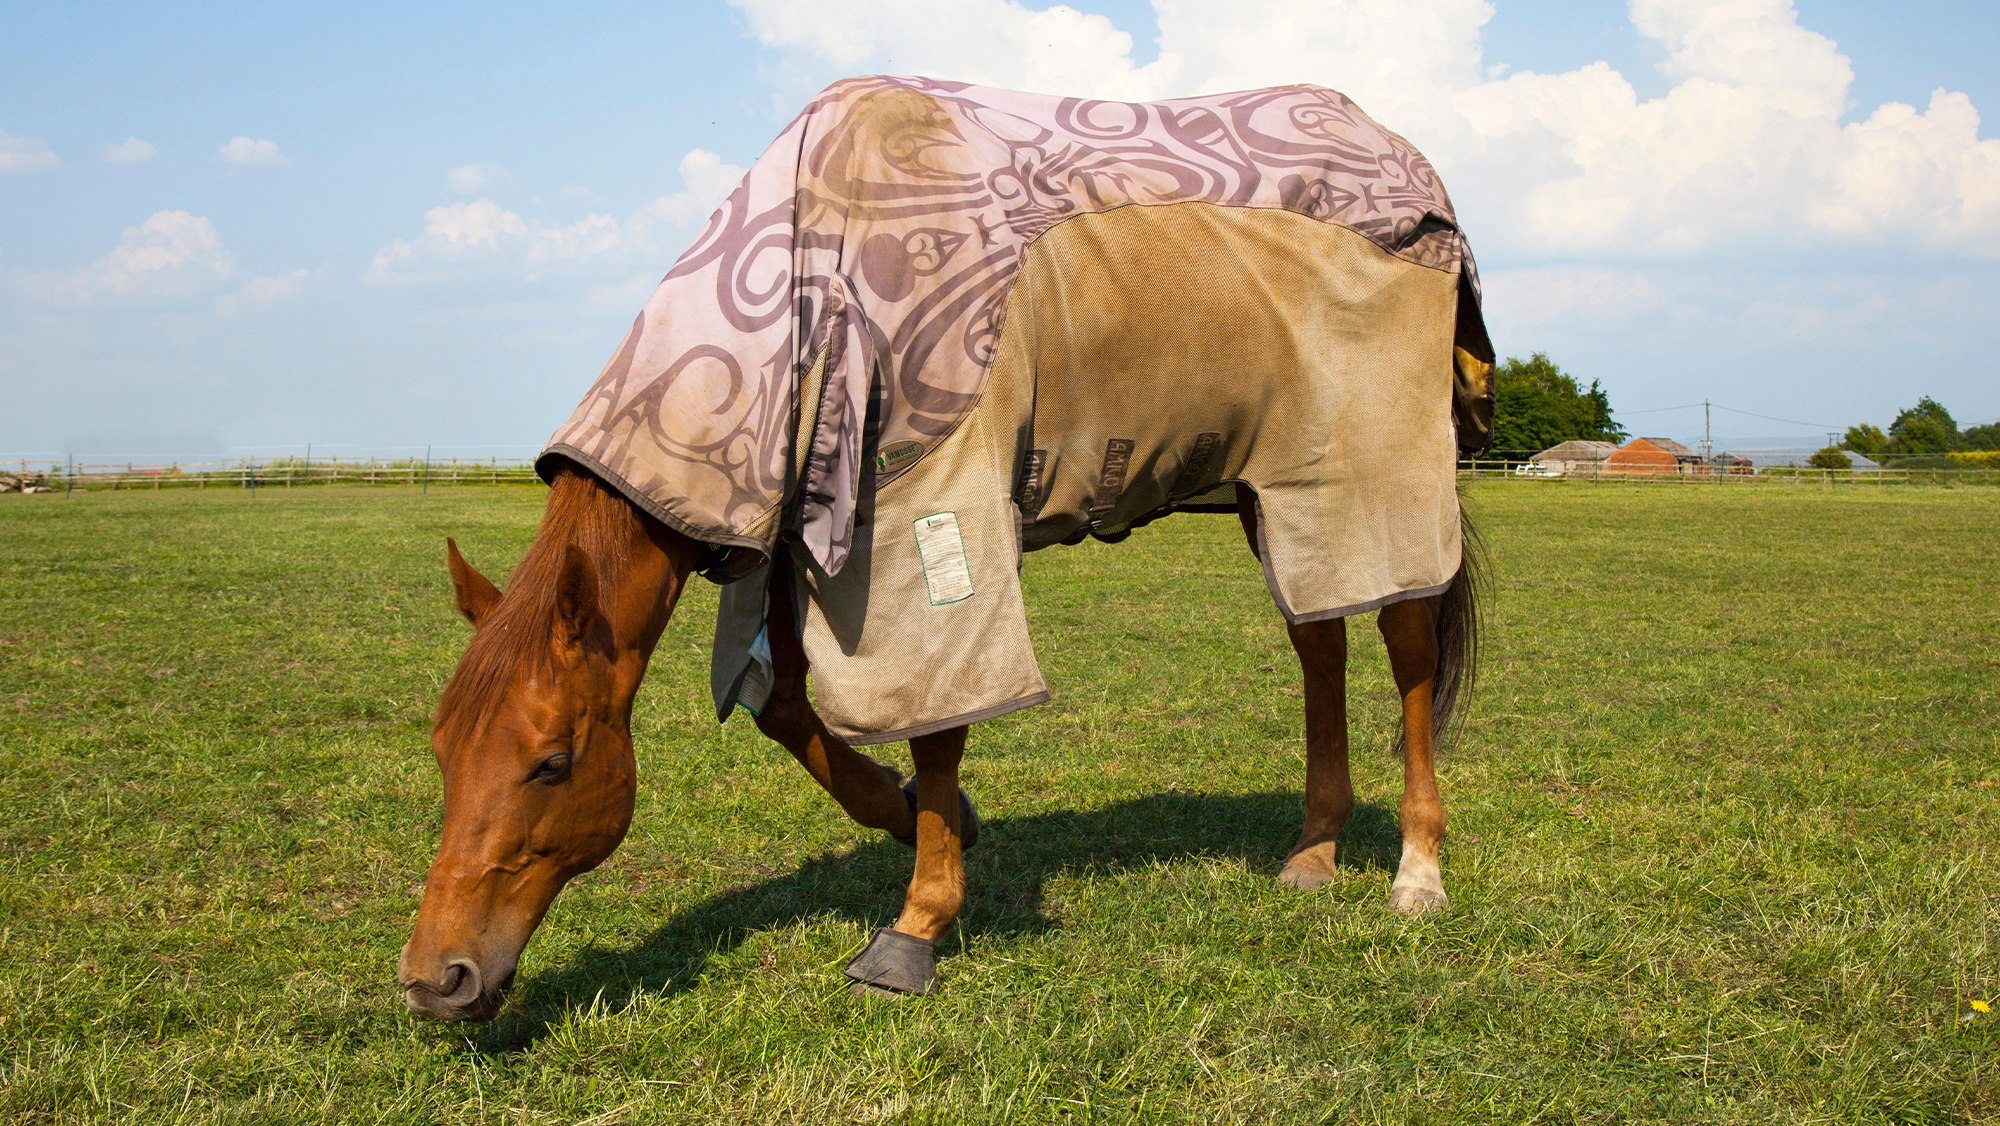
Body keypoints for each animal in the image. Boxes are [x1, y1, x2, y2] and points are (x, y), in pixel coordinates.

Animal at [398, 76, 1493, 1020]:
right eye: (443, 749)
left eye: (552, 761)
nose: (436, 979)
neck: (814, 272)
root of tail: (1410, 164)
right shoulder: (808, 537)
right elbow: (788, 708)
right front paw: (922, 815)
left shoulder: (928, 505)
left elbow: (936, 719)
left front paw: (916, 924)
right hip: (1275, 497)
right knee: (1320, 643)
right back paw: (1313, 851)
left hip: (1369, 481)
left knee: (1405, 652)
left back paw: (1416, 869)